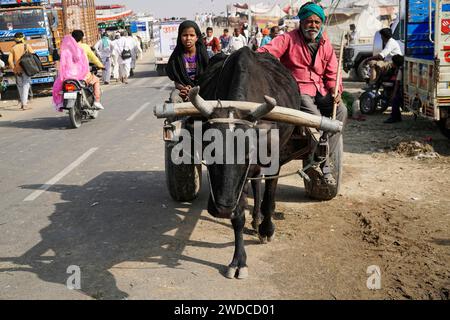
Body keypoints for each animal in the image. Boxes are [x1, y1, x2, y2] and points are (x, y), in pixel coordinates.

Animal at [197, 46, 306, 278]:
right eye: (209, 152)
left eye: (247, 153)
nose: (221, 209)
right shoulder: (238, 186)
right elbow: (238, 214)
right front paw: (238, 261)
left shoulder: (274, 159)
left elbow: (269, 196)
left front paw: (267, 229)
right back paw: (254, 219)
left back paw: (260, 223)